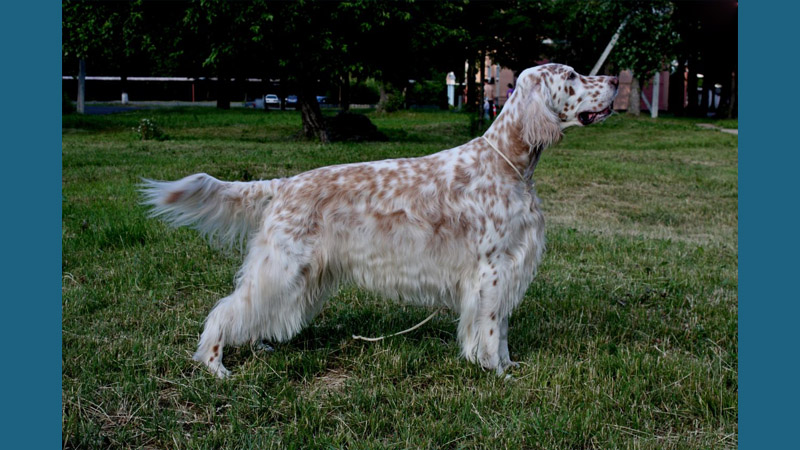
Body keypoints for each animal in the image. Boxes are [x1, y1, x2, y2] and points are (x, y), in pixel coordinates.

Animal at [142, 63, 620, 378]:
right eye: (572, 75)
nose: (616, 80)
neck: (509, 164)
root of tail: (284, 183)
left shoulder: (506, 268)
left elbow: (499, 328)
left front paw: (506, 365)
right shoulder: (492, 270)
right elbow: (488, 327)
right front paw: (494, 372)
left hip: (296, 272)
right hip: (283, 264)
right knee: (227, 309)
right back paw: (214, 364)